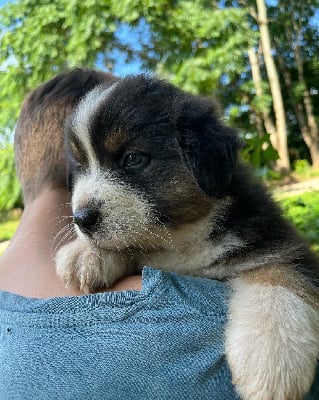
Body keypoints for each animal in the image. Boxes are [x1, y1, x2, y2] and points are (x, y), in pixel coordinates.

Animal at [57, 75, 319, 400]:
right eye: (80, 167)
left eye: (133, 159)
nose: (82, 219)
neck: (182, 239)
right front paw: (86, 254)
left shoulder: (276, 240)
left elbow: (279, 279)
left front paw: (272, 360)